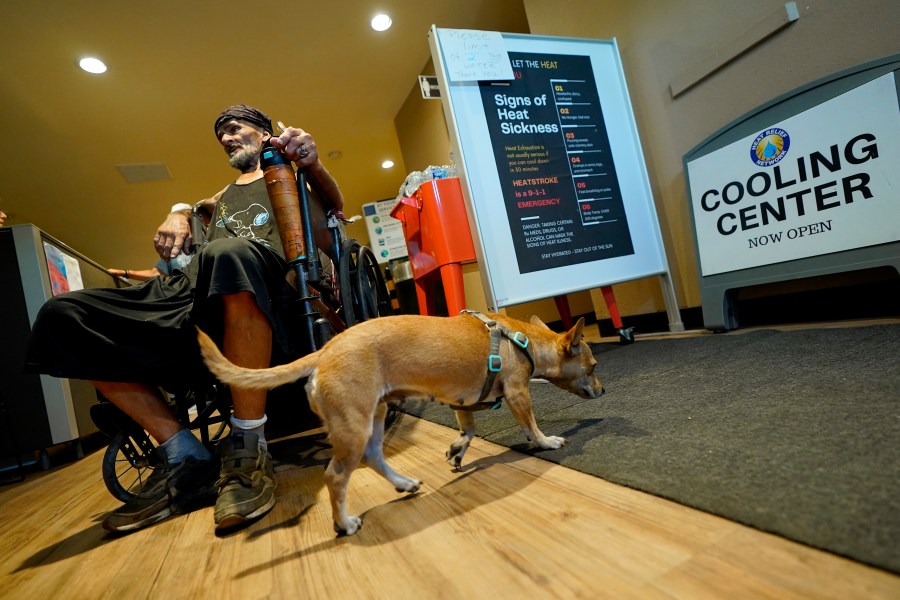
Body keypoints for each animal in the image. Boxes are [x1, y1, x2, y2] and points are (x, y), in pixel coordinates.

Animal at [198, 312, 604, 536]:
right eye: (594, 365)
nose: (603, 389)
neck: (526, 340)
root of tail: (325, 351)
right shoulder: (519, 394)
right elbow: (530, 427)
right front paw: (547, 442)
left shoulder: (462, 401)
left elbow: (468, 429)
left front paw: (458, 452)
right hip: (354, 427)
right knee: (336, 477)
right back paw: (344, 523)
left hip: (374, 418)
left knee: (375, 458)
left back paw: (404, 483)